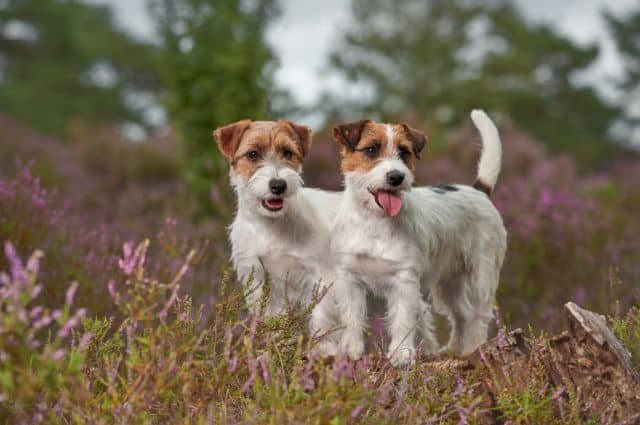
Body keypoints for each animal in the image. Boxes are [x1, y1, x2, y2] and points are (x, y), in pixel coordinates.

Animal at [214, 121, 344, 336]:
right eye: (253, 154)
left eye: (287, 152)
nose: (278, 185)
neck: (271, 226)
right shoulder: (259, 280)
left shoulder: (322, 281)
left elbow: (322, 325)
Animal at [314, 111, 504, 366]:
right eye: (371, 149)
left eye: (404, 152)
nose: (396, 176)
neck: (373, 221)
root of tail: (478, 191)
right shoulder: (349, 279)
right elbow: (352, 318)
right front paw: (351, 350)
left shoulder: (404, 280)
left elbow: (403, 320)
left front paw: (401, 354)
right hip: (448, 283)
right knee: (462, 314)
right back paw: (454, 350)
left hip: (481, 275)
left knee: (479, 315)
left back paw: (476, 348)